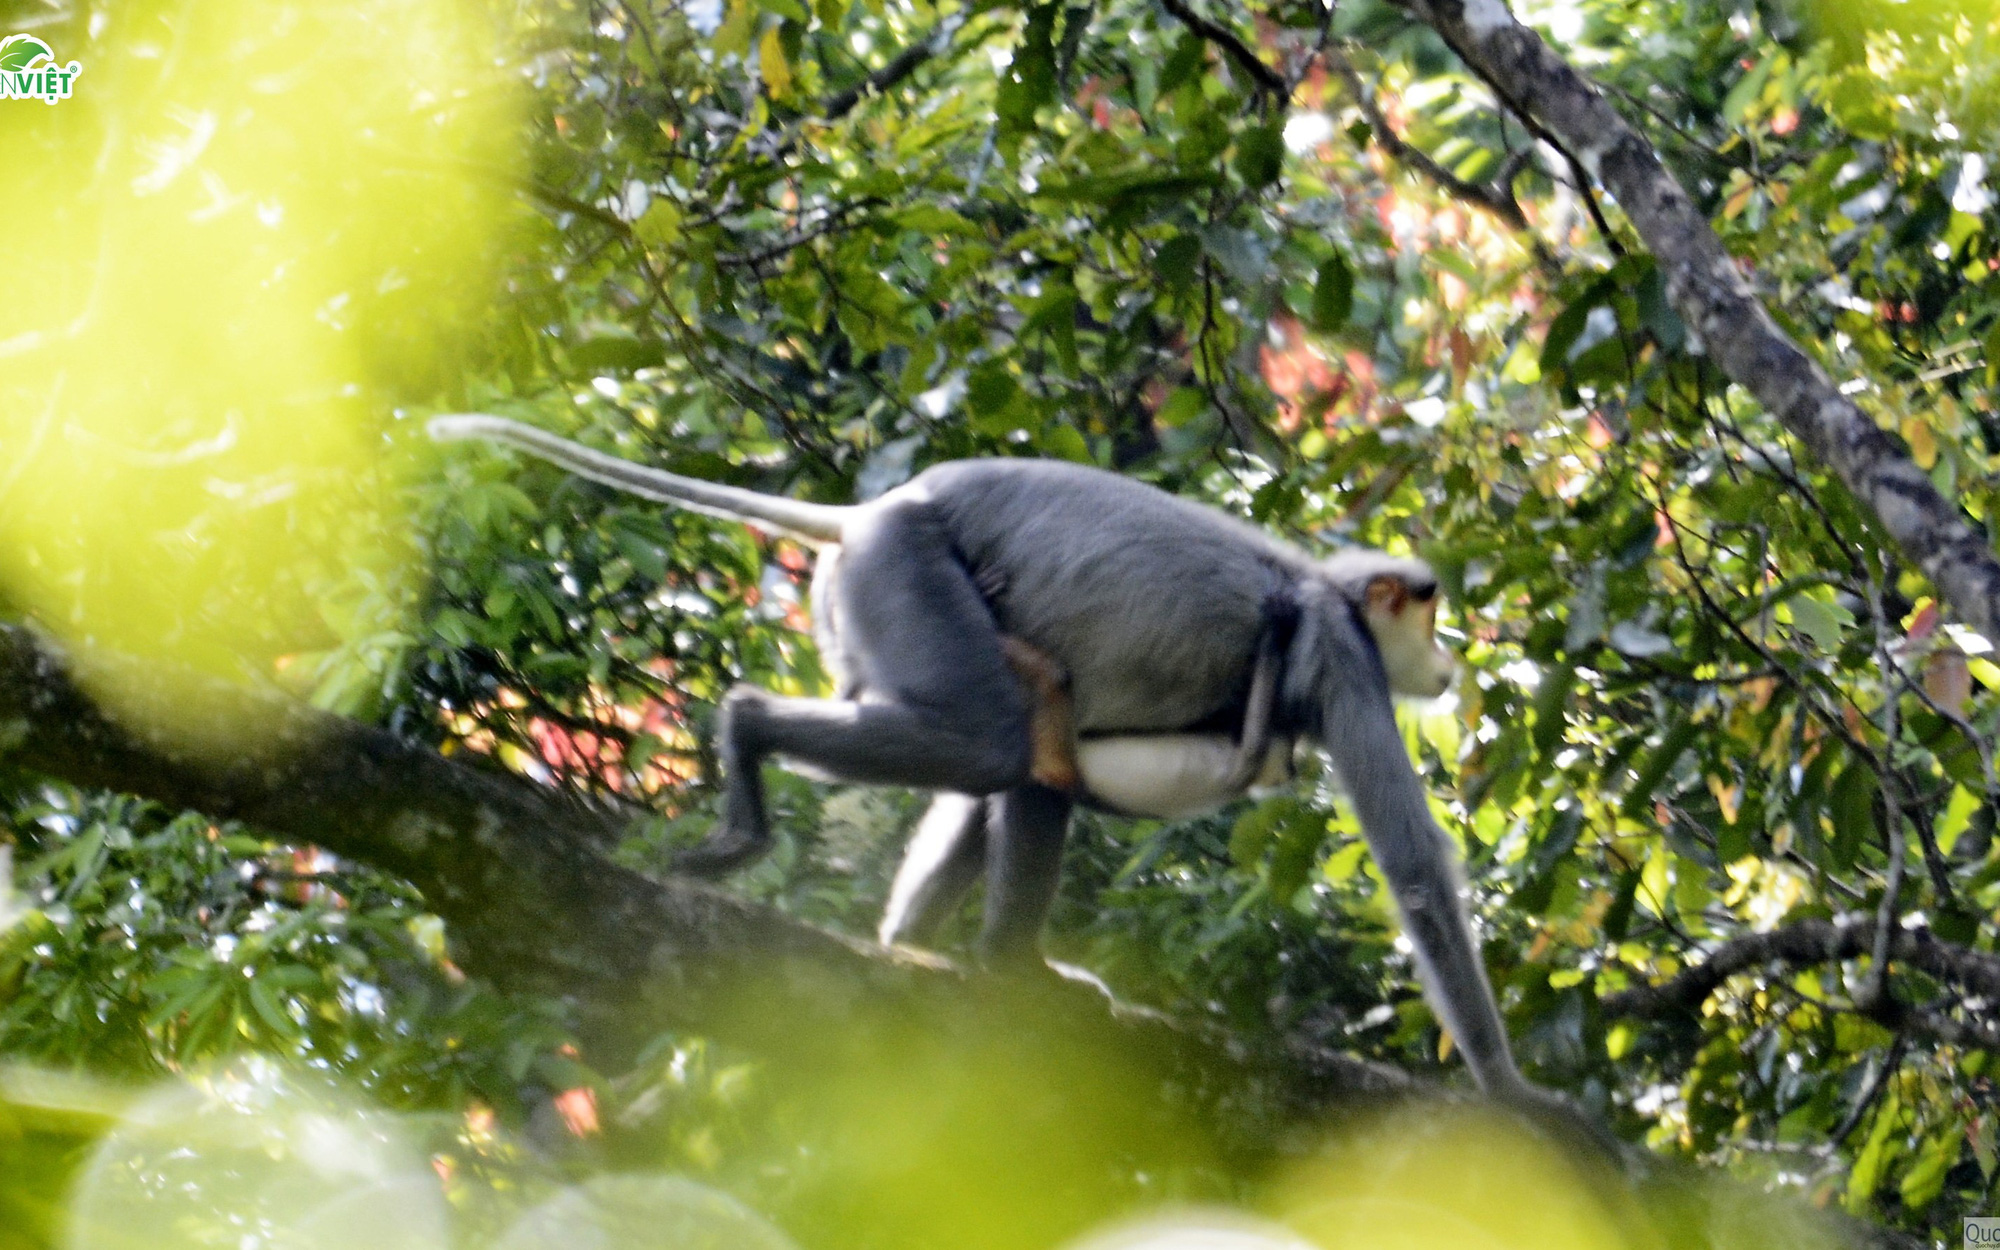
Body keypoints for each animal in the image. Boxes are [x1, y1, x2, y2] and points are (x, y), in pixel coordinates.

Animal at [430, 416, 1528, 1104]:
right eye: (1429, 615)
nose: (1450, 657)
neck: (1314, 590)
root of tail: (872, 510)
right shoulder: (1343, 654)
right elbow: (1414, 870)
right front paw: (1515, 1096)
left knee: (1015, 751)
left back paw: (916, 946)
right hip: (902, 568)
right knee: (1002, 742)